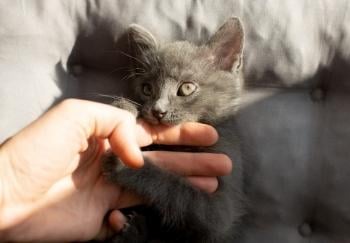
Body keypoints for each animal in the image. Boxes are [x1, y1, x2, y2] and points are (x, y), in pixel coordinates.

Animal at [104, 17, 245, 243]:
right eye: (147, 89)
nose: (158, 111)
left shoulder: (219, 211)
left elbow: (176, 189)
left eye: (186, 88)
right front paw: (123, 108)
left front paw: (126, 165)